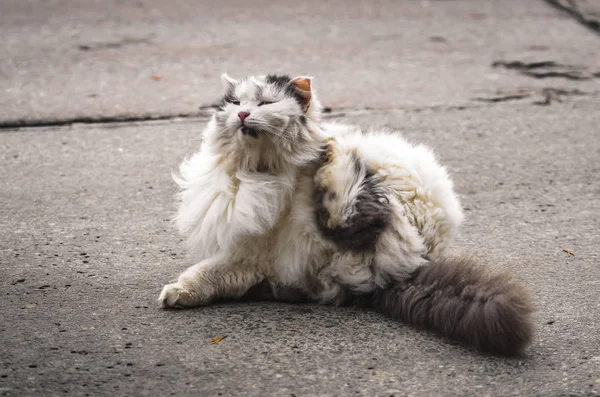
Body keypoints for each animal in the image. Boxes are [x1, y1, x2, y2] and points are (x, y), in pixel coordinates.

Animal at [159, 72, 536, 354]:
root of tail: (410, 271)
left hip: (392, 206)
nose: (242, 115)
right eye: (236, 103)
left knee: (352, 215)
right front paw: (176, 294)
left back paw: (333, 154)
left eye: (265, 103)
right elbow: (205, 275)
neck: (261, 170)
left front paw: (320, 148)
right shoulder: (250, 256)